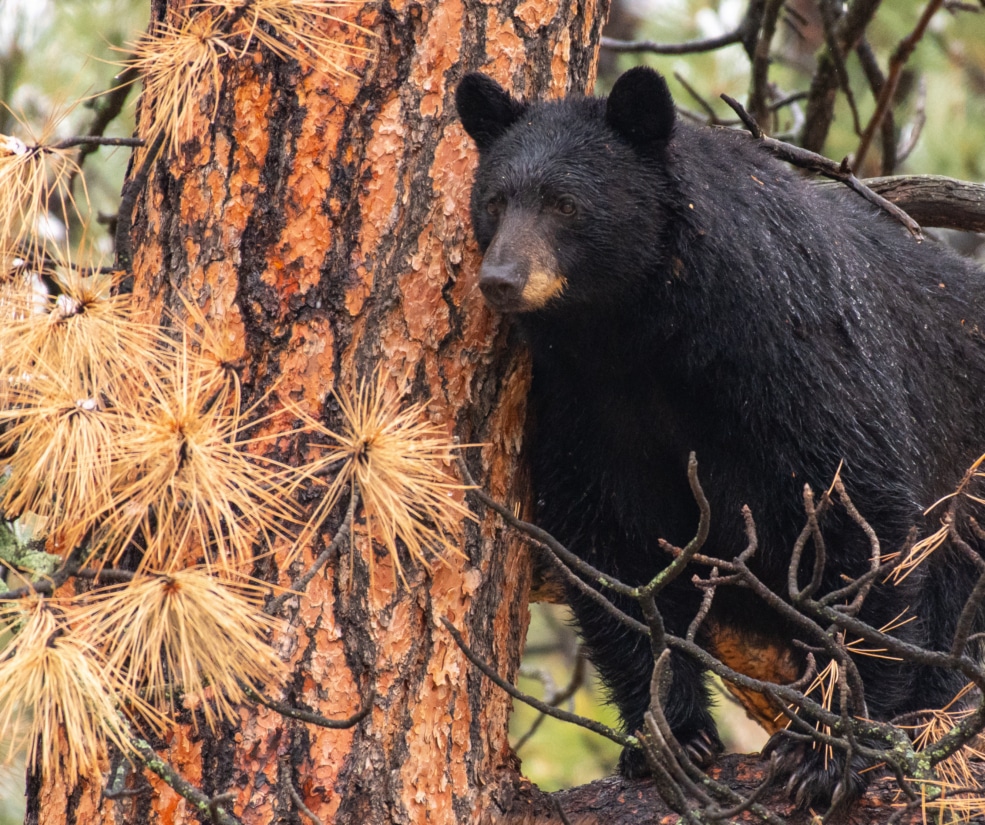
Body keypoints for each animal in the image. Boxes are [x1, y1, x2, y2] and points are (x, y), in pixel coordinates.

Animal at [456, 66, 985, 810]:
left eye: (564, 204)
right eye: (495, 200)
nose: (501, 279)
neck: (644, 330)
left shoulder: (794, 347)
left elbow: (857, 511)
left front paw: (826, 749)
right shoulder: (580, 398)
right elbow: (610, 544)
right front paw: (672, 736)